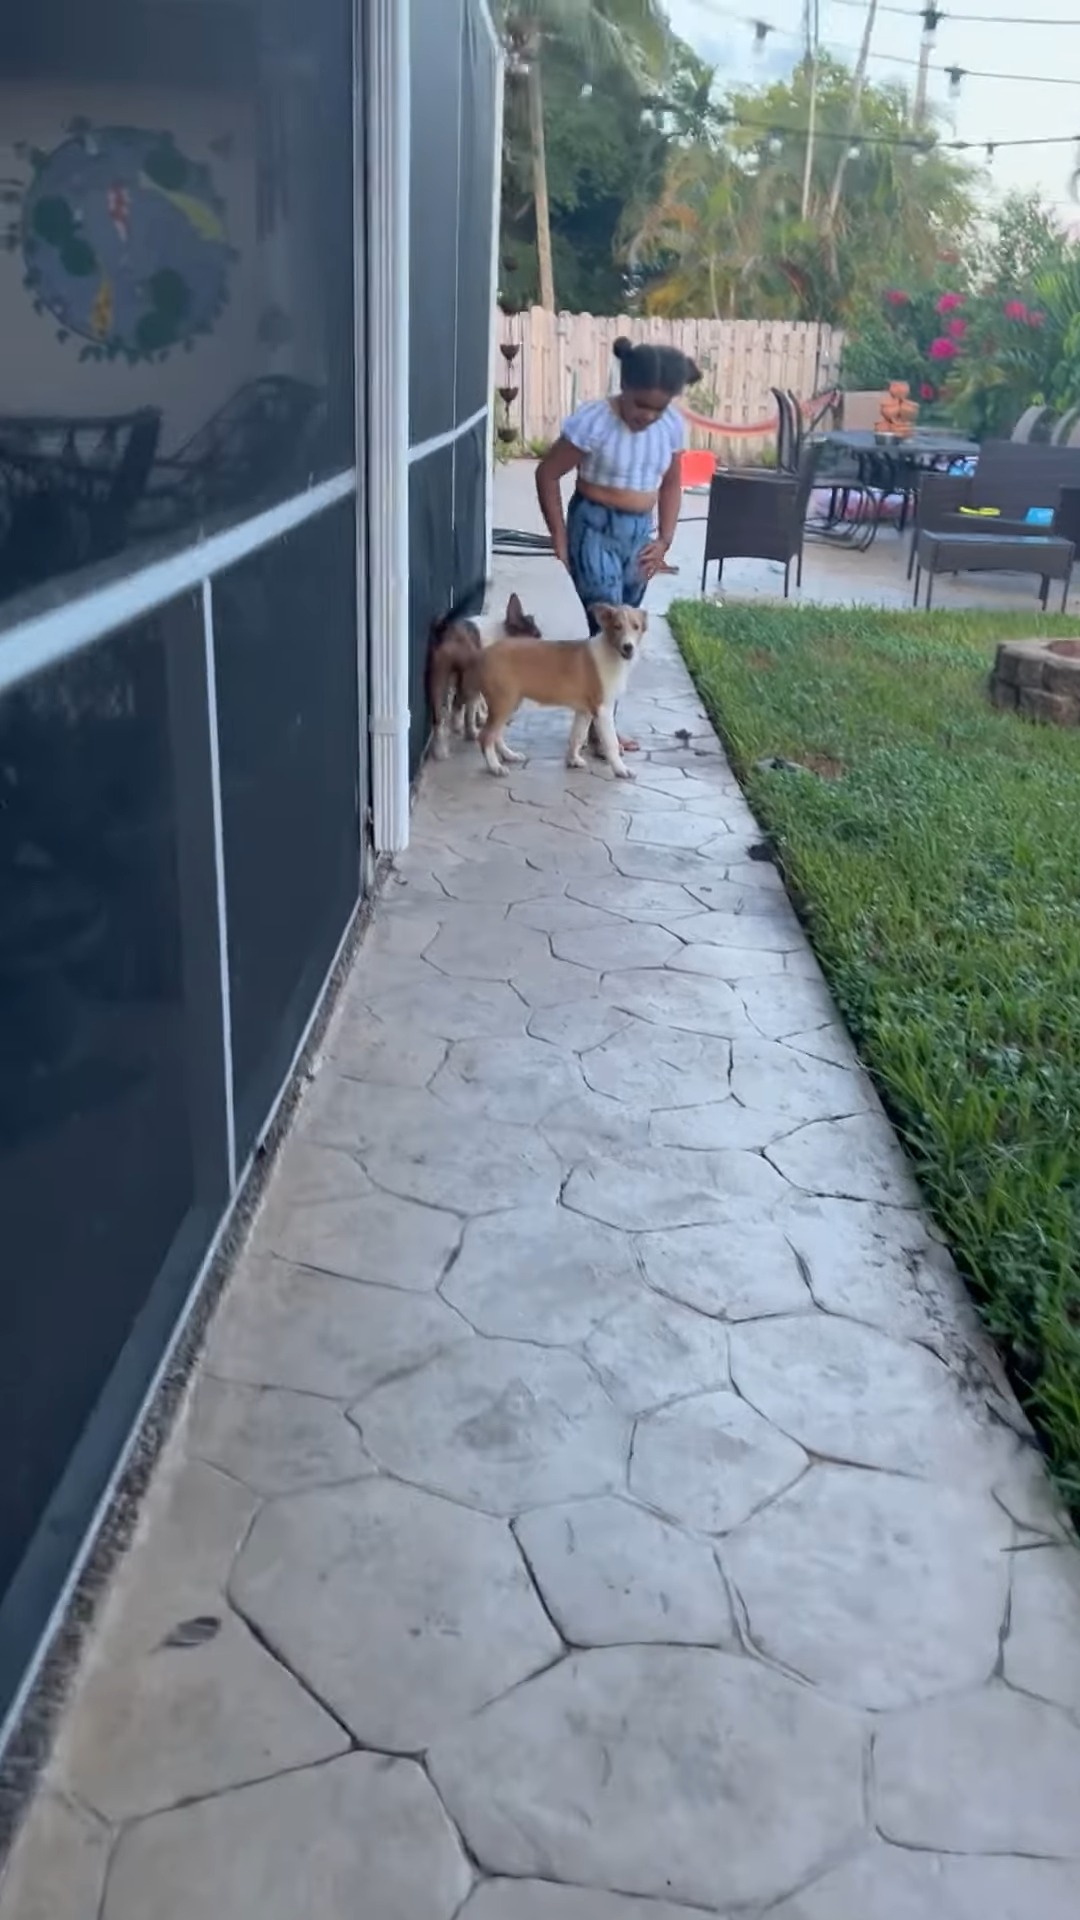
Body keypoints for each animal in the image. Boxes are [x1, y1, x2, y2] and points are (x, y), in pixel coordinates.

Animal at [422, 587, 534, 760]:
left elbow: (472, 706)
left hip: (438, 676)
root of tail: (447, 628)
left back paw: (441, 749)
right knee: (458, 705)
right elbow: (473, 706)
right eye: (535, 636)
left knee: (440, 716)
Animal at [466, 602, 641, 775]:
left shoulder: (584, 711)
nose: (628, 647)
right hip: (504, 702)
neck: (610, 652)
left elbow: (576, 736)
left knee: (496, 734)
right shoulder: (603, 710)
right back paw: (495, 767)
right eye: (617, 627)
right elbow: (611, 742)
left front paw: (573, 760)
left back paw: (509, 755)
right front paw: (621, 769)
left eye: (636, 627)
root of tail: (484, 653)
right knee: (486, 736)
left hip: (509, 703)